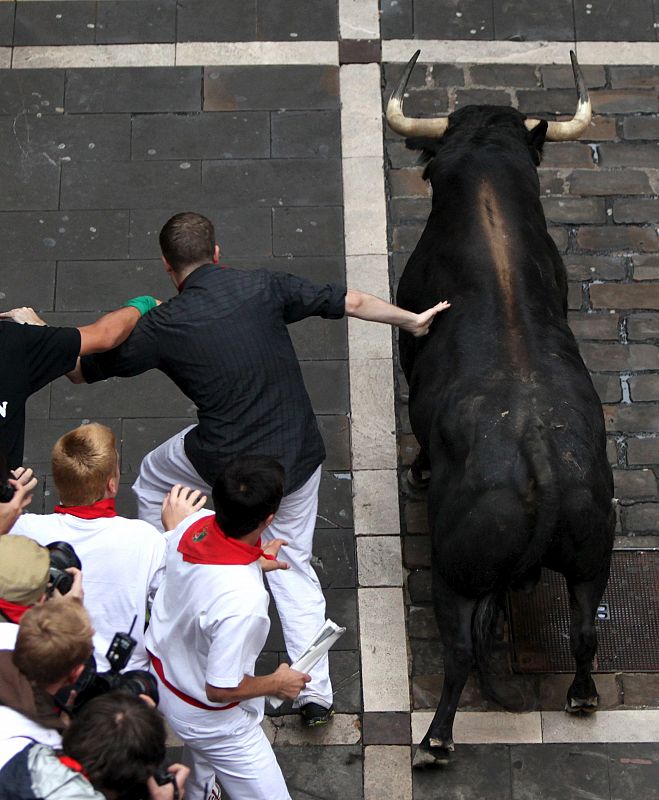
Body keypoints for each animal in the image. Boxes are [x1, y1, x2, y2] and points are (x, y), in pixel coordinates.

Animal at [390, 51, 616, 768]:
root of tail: (541, 466)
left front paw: (418, 472)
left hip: (454, 577)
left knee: (460, 653)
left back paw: (434, 741)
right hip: (591, 560)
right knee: (583, 633)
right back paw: (581, 697)